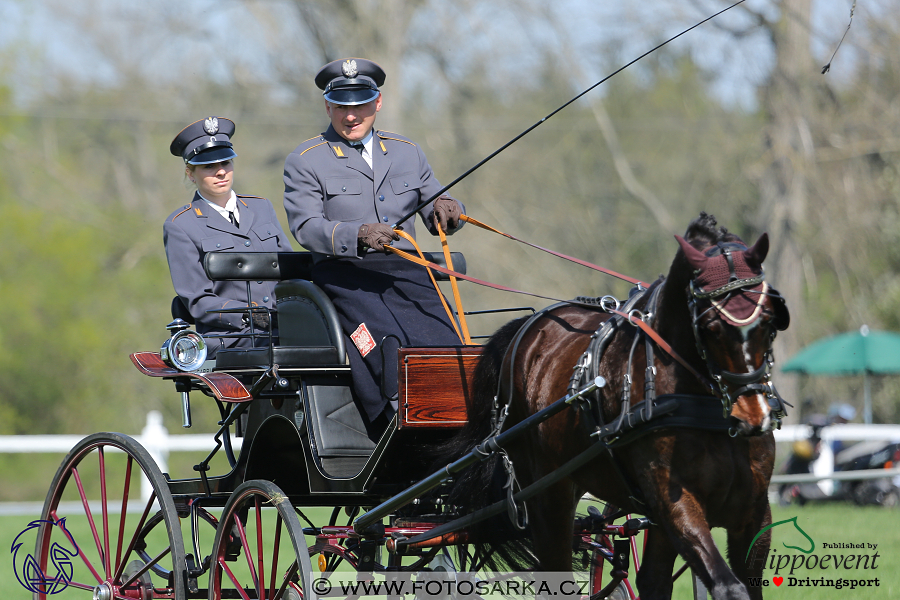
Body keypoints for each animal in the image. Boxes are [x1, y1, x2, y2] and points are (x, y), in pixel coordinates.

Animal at [446, 213, 792, 596]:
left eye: (769, 322)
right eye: (711, 326)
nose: (753, 415)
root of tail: (525, 328)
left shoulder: (753, 512)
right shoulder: (677, 504)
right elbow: (729, 587)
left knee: (651, 577)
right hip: (547, 493)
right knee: (555, 568)